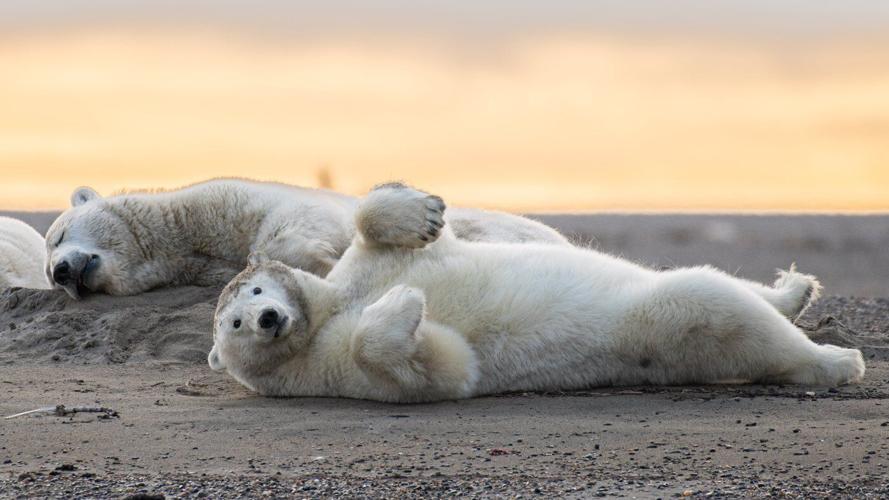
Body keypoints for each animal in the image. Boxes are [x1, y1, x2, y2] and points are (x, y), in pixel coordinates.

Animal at [207, 183, 863, 403]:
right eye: (232, 324)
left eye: (257, 288)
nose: (266, 318)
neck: (324, 314)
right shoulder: (329, 370)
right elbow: (440, 368)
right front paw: (405, 306)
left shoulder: (361, 269)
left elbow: (380, 229)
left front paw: (423, 211)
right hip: (664, 332)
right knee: (710, 304)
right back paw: (834, 360)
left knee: (719, 286)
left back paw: (794, 289)